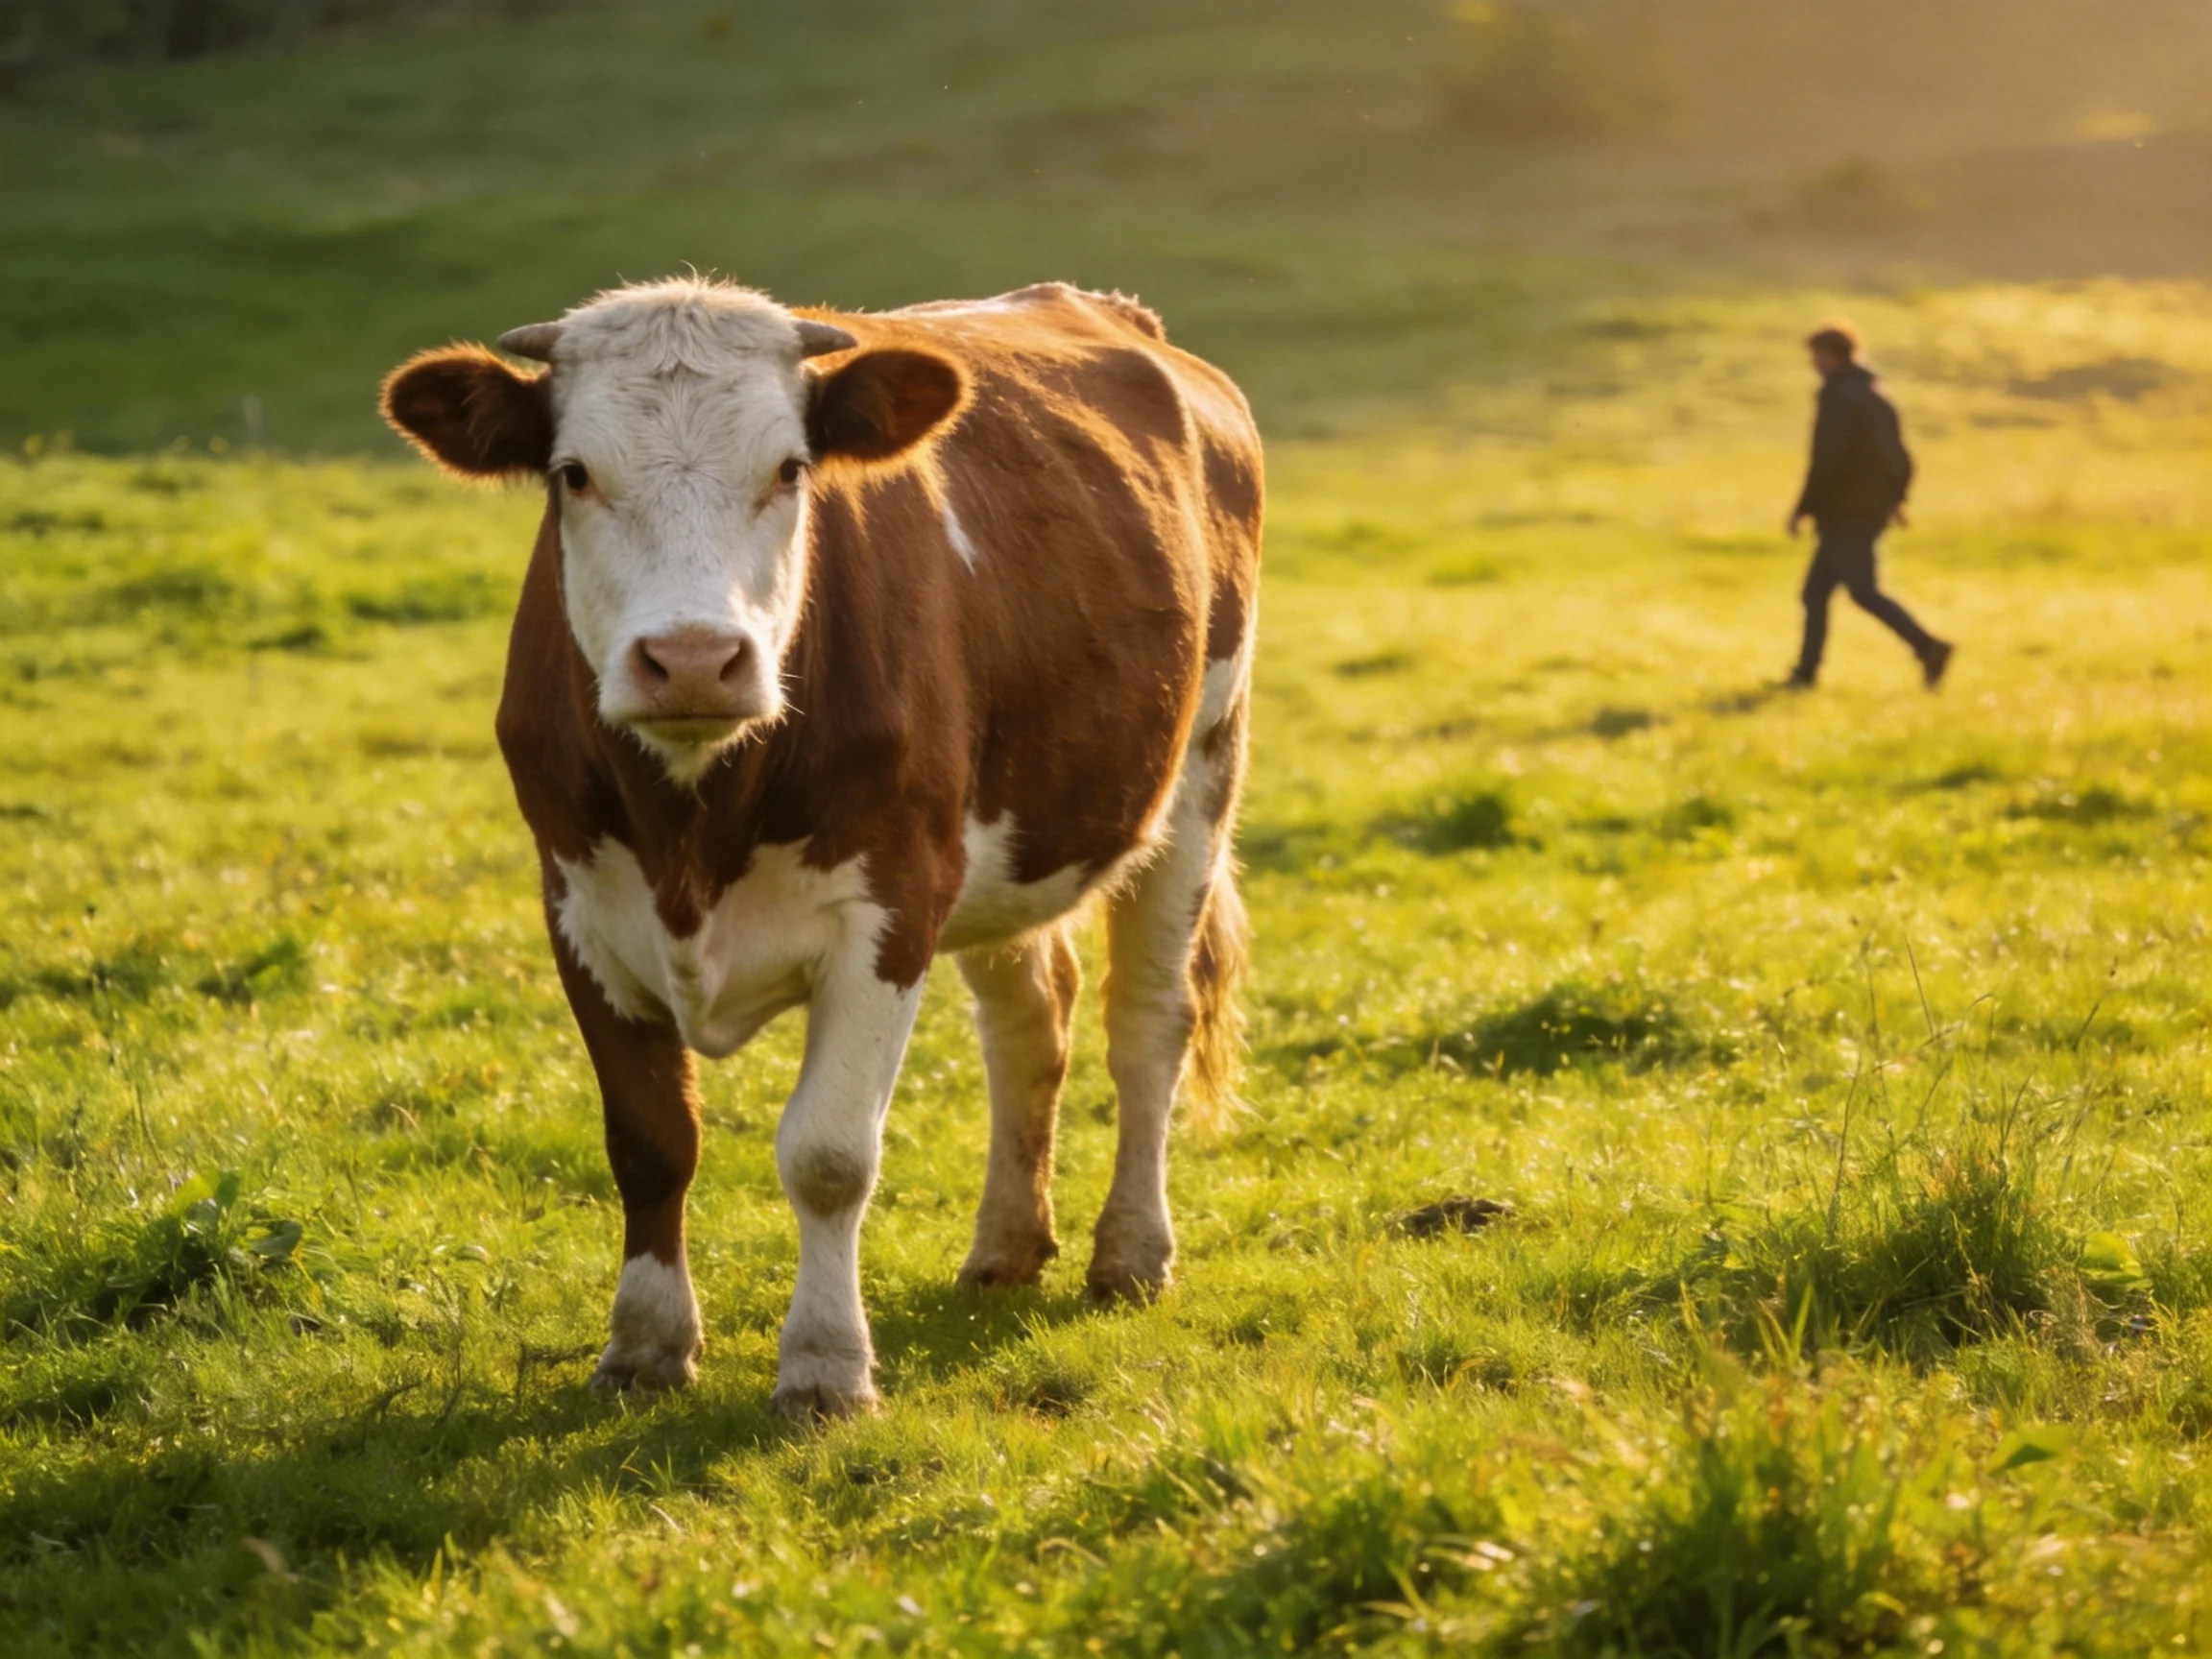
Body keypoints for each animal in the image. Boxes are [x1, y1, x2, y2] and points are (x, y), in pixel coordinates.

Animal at [378, 277, 1262, 1418]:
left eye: (791, 468)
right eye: (573, 473)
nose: (693, 658)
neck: (693, 822)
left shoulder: (891, 901)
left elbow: (830, 1154)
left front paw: (826, 1367)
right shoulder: (576, 904)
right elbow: (650, 1143)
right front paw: (645, 1347)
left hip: (1201, 767)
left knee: (1147, 1022)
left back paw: (1132, 1253)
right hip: (1008, 846)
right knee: (1031, 1023)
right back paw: (1005, 1246)